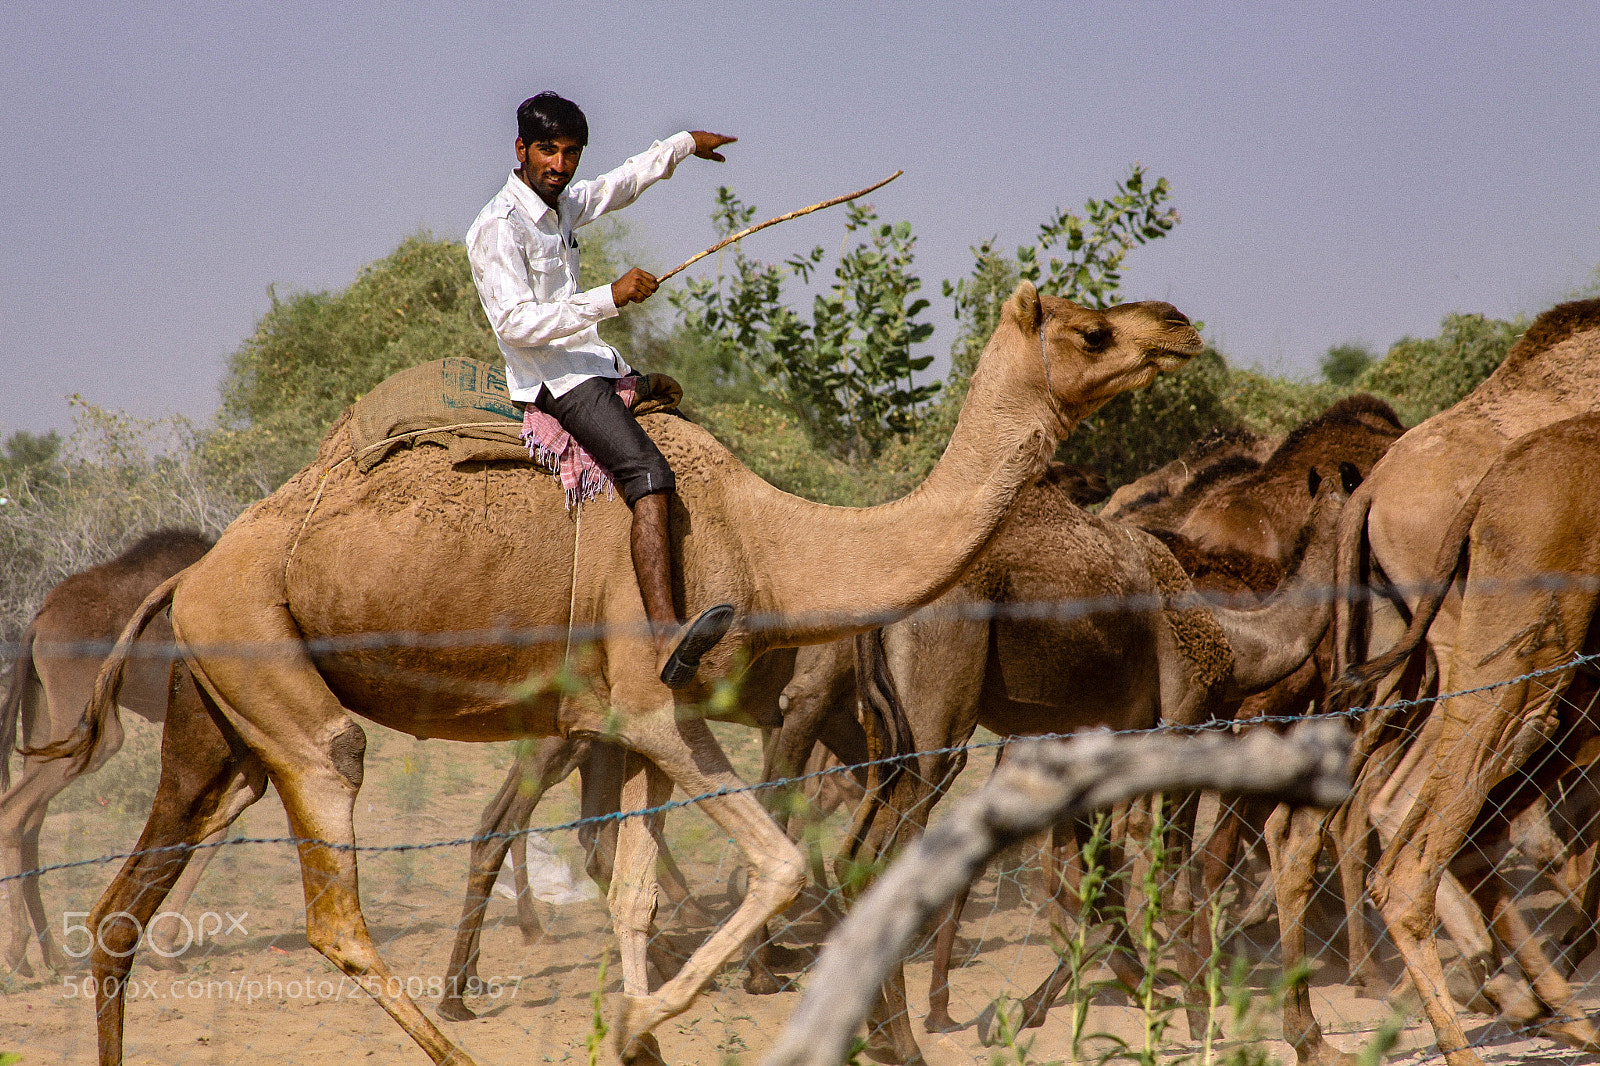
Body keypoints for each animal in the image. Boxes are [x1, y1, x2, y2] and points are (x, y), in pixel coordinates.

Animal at [1, 529, 212, 976]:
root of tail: (38, 622)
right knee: (13, 811)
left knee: (31, 823)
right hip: (91, 729)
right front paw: (164, 949)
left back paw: (54, 956)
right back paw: (18, 954)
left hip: (45, 719)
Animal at [61, 283, 1203, 1066]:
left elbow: (634, 898)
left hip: (220, 725)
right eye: (1091, 333)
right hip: (277, 682)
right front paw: (643, 1020)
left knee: (120, 913)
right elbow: (777, 865)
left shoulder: (643, 730)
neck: (775, 543)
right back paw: (460, 1040)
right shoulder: (659, 711)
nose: (1179, 323)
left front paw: (638, 1029)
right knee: (333, 903)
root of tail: (195, 573)